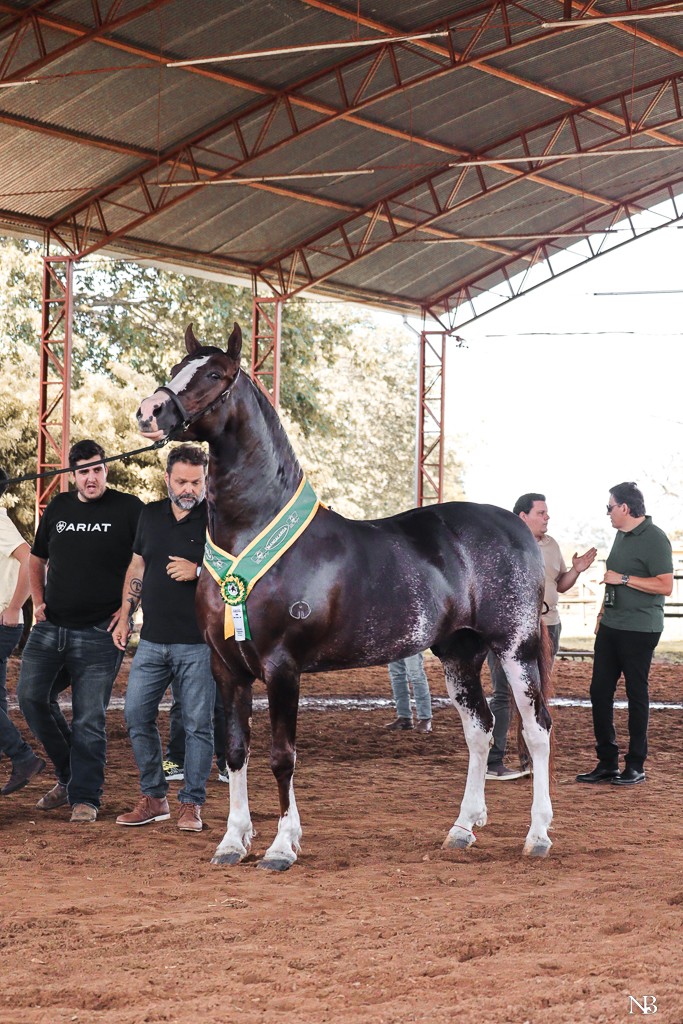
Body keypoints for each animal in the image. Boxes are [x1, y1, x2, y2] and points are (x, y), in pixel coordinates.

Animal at [136, 322, 553, 871]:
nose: (150, 410)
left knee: (537, 728)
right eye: (175, 368)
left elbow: (282, 756)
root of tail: (517, 527)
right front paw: (232, 841)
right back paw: (462, 829)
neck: (253, 533)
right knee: (479, 730)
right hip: (459, 652)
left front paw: (281, 847)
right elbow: (237, 752)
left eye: (214, 374)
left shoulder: (282, 666)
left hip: (514, 647)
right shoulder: (226, 667)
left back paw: (538, 835)